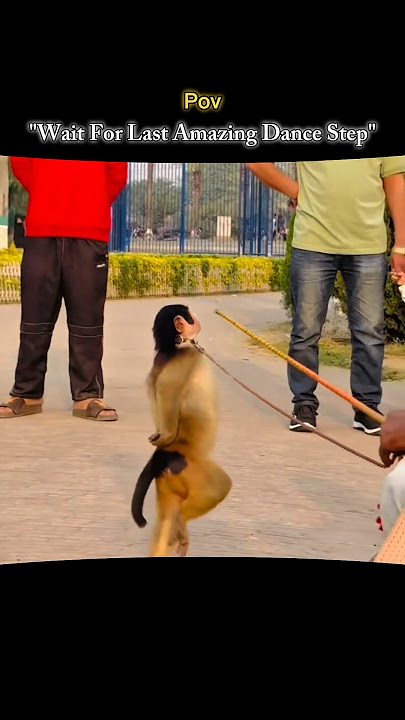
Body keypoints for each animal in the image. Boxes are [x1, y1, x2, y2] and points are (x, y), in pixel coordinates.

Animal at [131, 304, 232, 557]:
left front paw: (157, 436)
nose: (196, 317)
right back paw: (182, 523)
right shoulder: (187, 357)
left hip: (167, 482)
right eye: (190, 314)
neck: (176, 346)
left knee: (162, 525)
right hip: (188, 469)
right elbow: (168, 394)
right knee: (219, 487)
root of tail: (169, 454)